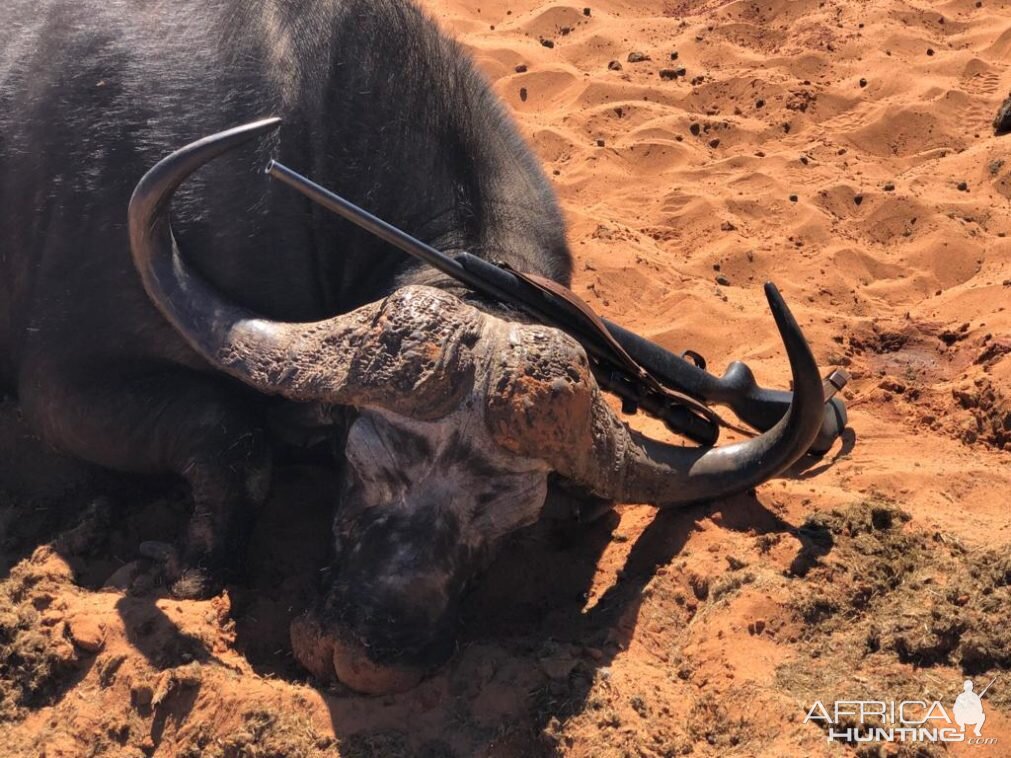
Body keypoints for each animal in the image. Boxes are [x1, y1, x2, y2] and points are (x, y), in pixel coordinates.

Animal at [0, 0, 820, 691]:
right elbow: (233, 435)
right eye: (363, 463)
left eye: (513, 517)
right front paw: (191, 569)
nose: (368, 652)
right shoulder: (61, 389)